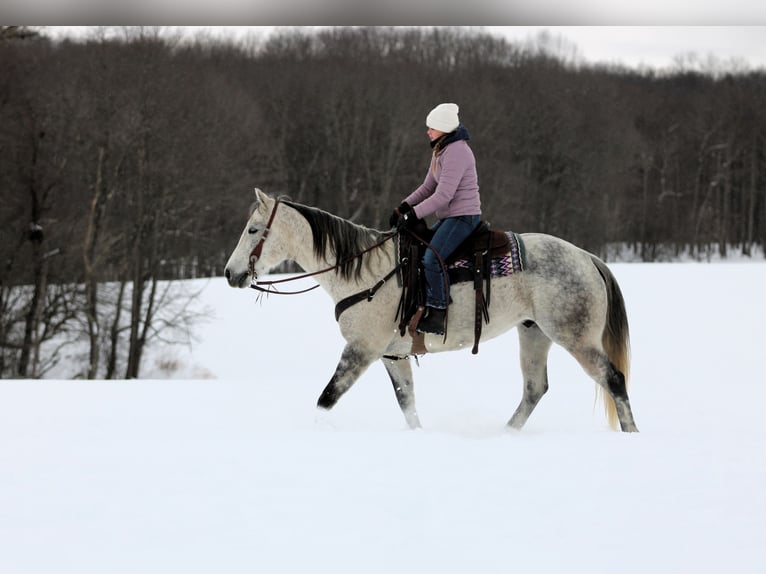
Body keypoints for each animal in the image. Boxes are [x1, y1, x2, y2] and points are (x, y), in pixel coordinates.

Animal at [224, 188, 639, 432]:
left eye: (253, 230)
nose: (230, 274)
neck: (364, 271)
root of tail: (587, 257)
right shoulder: (391, 354)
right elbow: (407, 403)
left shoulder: (361, 350)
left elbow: (326, 399)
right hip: (534, 332)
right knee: (535, 388)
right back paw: (505, 434)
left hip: (575, 336)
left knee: (614, 379)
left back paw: (630, 433)